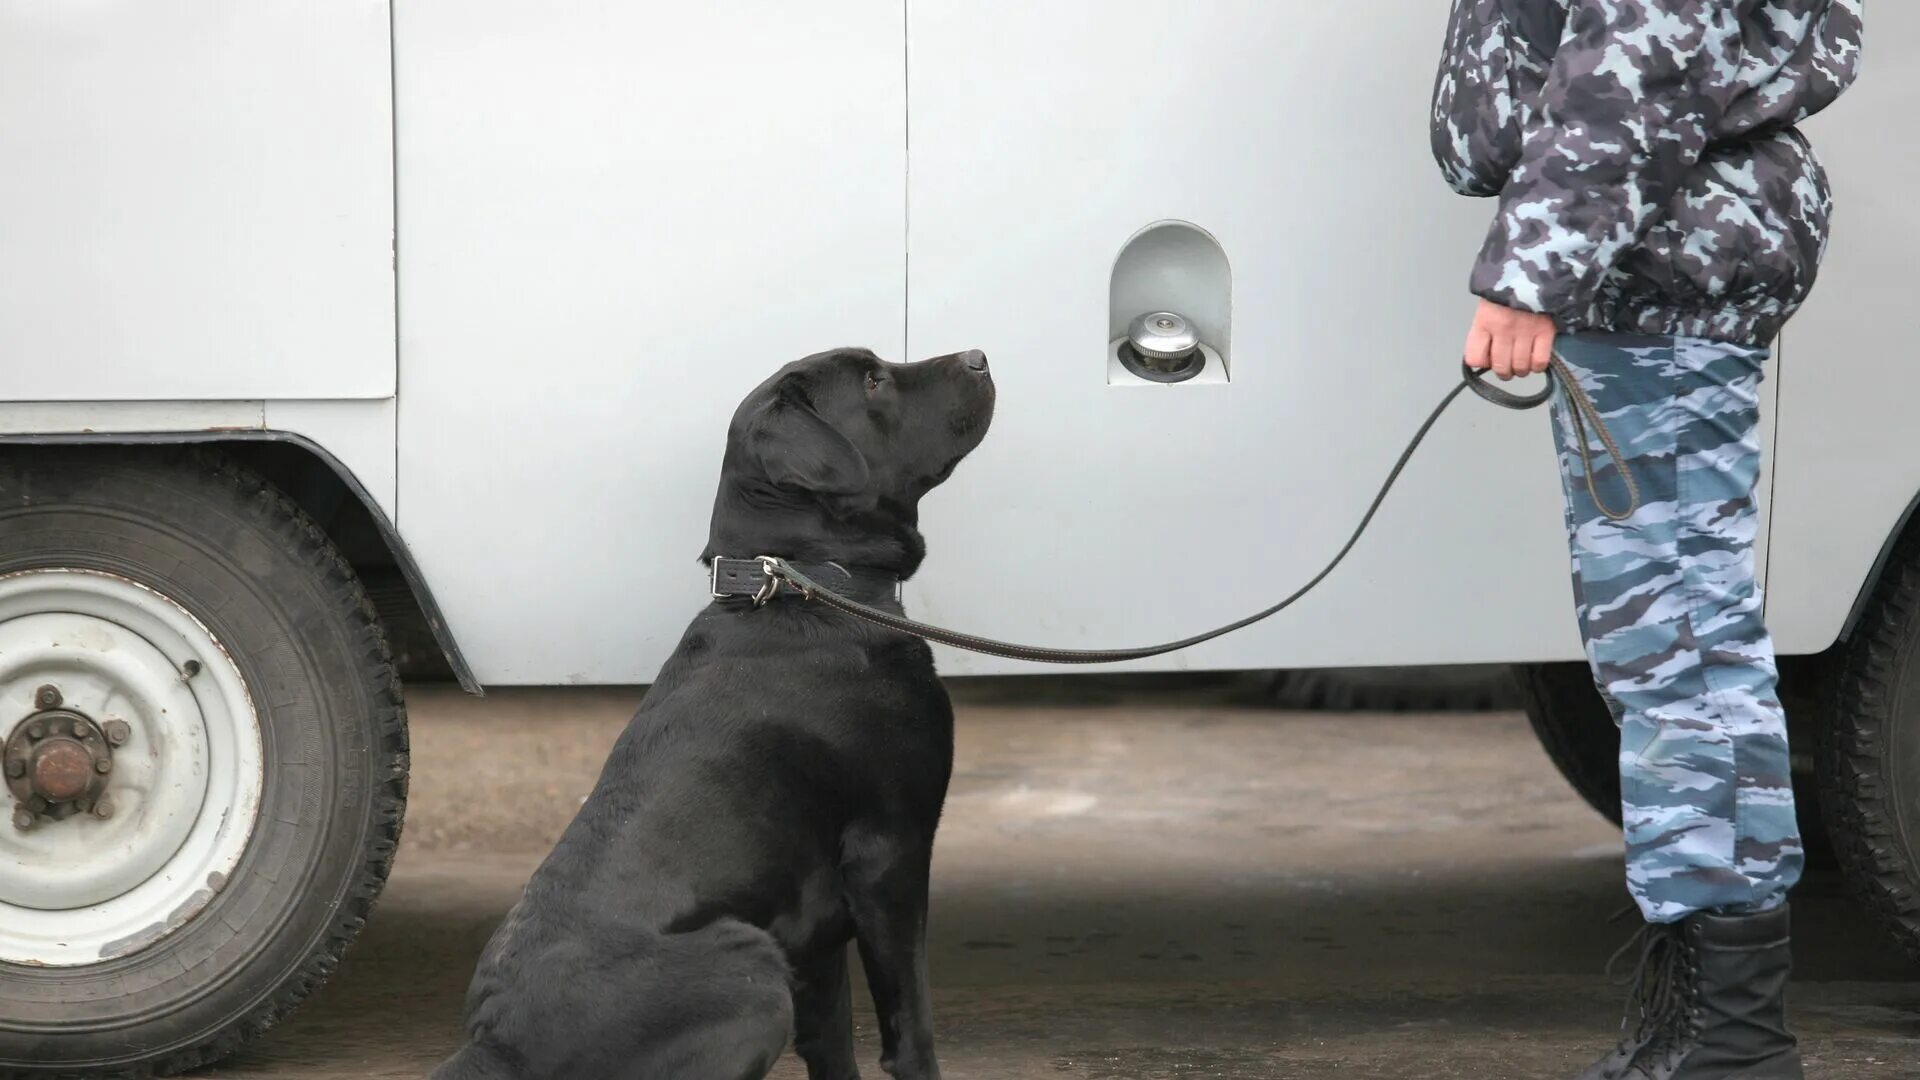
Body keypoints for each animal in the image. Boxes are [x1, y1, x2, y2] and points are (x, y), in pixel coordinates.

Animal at [437, 343, 998, 1076]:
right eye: (874, 379)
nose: (979, 357)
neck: (806, 583)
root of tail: (496, 1044)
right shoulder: (891, 851)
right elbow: (911, 1025)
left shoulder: (815, 926)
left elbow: (833, 1045)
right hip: (751, 969)